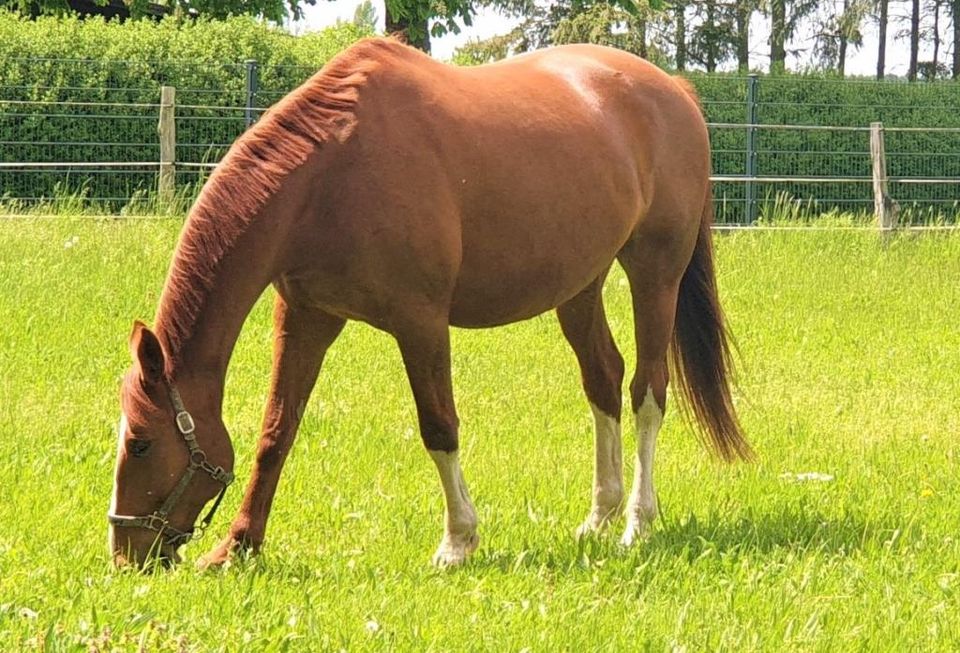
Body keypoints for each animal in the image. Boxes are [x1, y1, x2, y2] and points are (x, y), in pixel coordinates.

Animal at [107, 38, 752, 568]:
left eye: (140, 442)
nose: (126, 554)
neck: (331, 173)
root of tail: (675, 90)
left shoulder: (420, 322)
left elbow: (439, 426)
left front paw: (458, 541)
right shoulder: (308, 317)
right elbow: (276, 432)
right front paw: (238, 546)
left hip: (655, 274)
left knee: (648, 390)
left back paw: (636, 524)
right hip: (580, 285)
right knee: (604, 379)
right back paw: (599, 517)